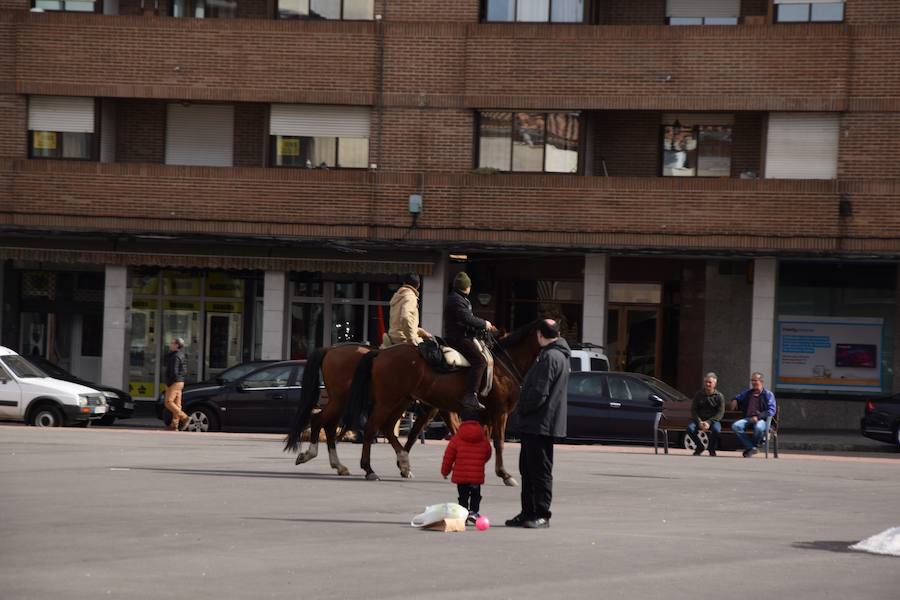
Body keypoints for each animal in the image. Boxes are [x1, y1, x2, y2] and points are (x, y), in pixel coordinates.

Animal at [344, 318, 540, 482]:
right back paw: (369, 469)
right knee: (371, 428)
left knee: (388, 428)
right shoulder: (499, 412)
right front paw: (504, 474)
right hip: (387, 401)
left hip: (401, 401)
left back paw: (402, 462)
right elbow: (498, 442)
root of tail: (380, 353)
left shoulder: (462, 413)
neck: (503, 367)